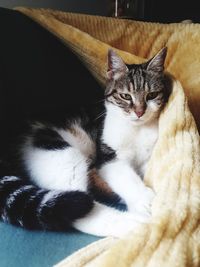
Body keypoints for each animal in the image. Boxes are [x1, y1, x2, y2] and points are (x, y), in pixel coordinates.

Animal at [0, 47, 170, 238]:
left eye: (151, 95)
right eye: (126, 96)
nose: (140, 112)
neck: (137, 130)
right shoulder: (108, 157)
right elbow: (125, 177)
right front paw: (143, 200)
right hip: (61, 154)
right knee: (82, 211)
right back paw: (137, 224)